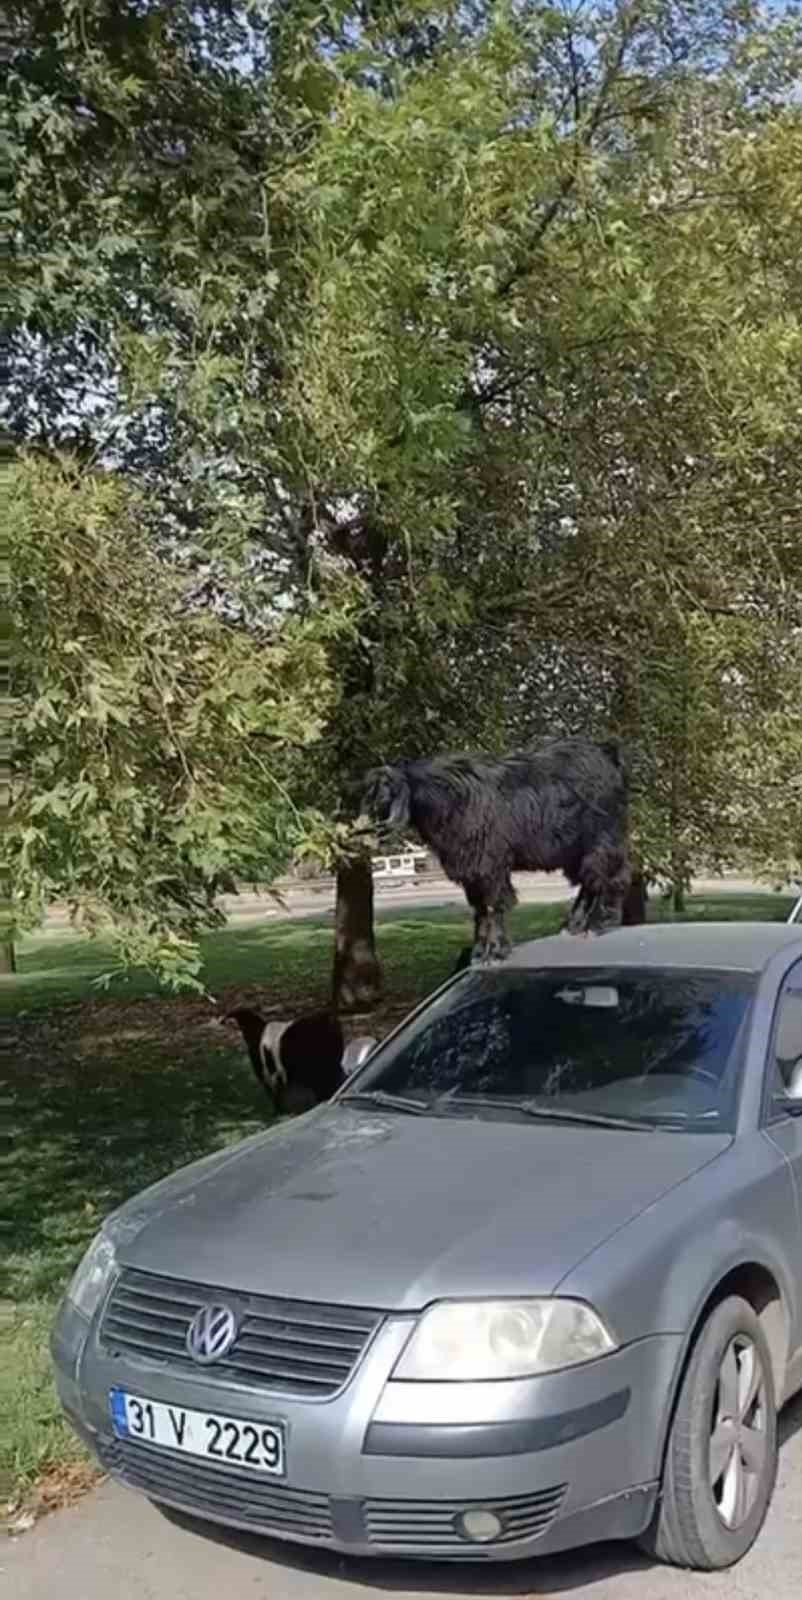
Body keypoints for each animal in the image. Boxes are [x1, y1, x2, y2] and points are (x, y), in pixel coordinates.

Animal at [363, 736, 630, 960]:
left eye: (385, 792)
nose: (370, 825)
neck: (450, 799)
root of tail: (607, 755)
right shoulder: (471, 869)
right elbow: (480, 908)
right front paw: (479, 951)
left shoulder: (489, 864)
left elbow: (493, 904)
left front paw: (495, 950)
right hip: (574, 851)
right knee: (591, 881)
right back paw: (573, 925)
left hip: (601, 839)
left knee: (608, 876)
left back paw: (599, 925)